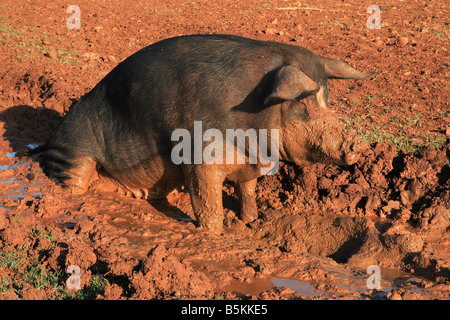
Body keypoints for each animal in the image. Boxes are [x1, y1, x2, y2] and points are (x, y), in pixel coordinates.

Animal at [38, 35, 376, 234]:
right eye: (304, 103)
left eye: (327, 99)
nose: (357, 144)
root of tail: (50, 139)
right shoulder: (201, 156)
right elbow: (206, 200)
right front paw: (216, 236)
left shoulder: (249, 163)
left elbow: (247, 191)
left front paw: (250, 223)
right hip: (73, 153)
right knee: (75, 181)